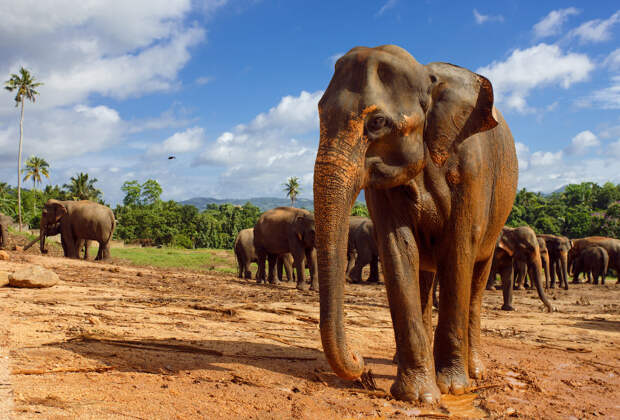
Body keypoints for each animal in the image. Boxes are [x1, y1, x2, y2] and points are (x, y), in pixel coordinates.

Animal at [312, 46, 520, 404]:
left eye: (377, 122)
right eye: (320, 114)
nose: (359, 360)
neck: (427, 76)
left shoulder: (473, 171)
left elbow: (459, 251)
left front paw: (453, 388)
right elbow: (397, 247)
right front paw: (418, 396)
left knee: (478, 275)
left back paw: (475, 370)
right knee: (424, 273)